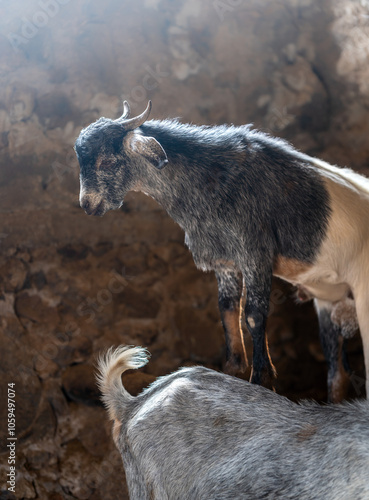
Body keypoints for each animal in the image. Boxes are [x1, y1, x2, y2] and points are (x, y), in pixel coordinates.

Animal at [74, 102, 368, 402]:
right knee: (337, 373)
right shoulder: (224, 260)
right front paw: (233, 370)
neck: (212, 176)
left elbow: (254, 314)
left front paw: (262, 379)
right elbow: (227, 308)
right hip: (329, 300)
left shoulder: (254, 254)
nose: (88, 205)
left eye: (108, 162)